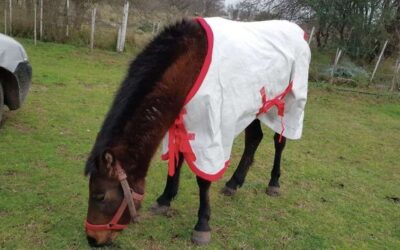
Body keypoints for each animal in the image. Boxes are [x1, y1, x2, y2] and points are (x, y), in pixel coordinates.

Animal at [83, 17, 310, 246]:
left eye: (100, 196)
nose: (92, 239)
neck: (189, 64)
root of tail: (299, 31)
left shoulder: (207, 129)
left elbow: (203, 179)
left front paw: (202, 225)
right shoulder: (180, 123)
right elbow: (176, 161)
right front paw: (165, 200)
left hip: (287, 104)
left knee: (280, 141)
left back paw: (274, 183)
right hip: (252, 106)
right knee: (254, 139)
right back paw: (234, 183)